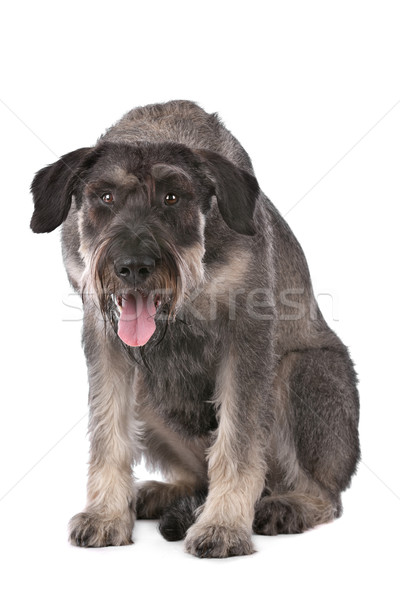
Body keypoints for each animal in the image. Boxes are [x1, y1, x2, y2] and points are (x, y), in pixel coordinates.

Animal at [28, 99, 360, 556]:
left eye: (172, 197)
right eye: (105, 196)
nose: (133, 266)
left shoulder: (246, 333)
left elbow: (237, 442)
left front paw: (223, 525)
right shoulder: (104, 336)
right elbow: (108, 430)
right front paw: (106, 515)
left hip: (300, 373)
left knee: (325, 494)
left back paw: (285, 506)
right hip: (147, 390)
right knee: (196, 474)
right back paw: (157, 494)